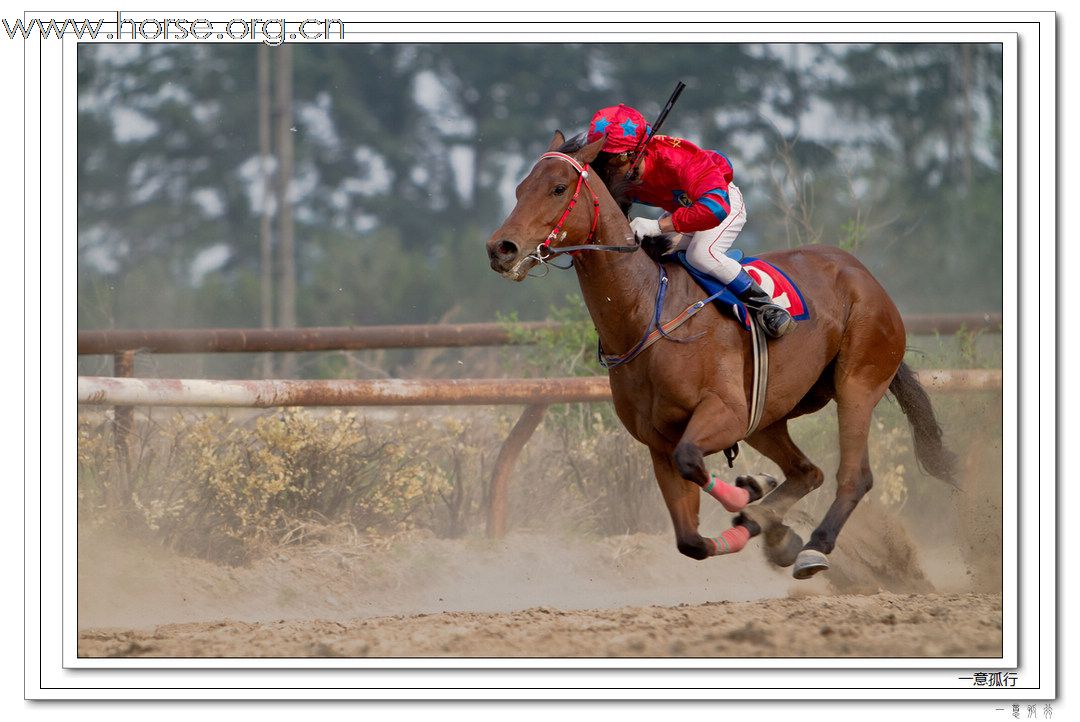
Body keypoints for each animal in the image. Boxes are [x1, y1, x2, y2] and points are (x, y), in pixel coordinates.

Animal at [490, 131, 954, 578]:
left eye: (558, 188)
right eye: (518, 188)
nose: (501, 249)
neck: (647, 312)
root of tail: (861, 273)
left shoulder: (724, 412)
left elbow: (692, 460)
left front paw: (751, 495)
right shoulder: (659, 443)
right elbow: (690, 541)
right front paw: (763, 513)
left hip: (857, 382)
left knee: (853, 476)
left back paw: (812, 547)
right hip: (767, 417)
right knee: (808, 472)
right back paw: (774, 531)